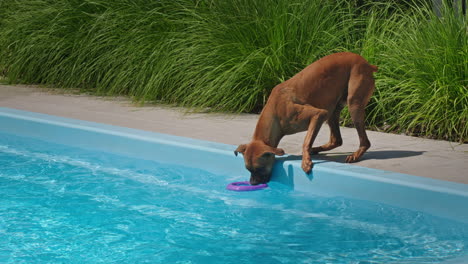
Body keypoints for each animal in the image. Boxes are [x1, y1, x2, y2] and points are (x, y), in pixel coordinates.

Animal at [234, 51, 376, 184]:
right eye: (248, 169)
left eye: (259, 168)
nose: (252, 183)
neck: (275, 110)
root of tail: (367, 63)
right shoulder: (322, 114)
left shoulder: (318, 114)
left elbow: (306, 142)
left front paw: (306, 161)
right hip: (332, 110)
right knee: (336, 140)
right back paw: (317, 149)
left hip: (353, 105)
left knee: (365, 141)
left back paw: (356, 154)